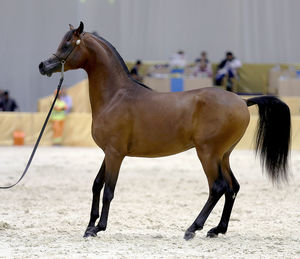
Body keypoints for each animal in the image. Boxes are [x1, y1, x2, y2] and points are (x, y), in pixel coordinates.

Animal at [39, 23, 290, 241]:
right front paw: (90, 226)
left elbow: (109, 190)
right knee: (232, 187)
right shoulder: (108, 153)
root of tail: (242, 100)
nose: (43, 65)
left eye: (67, 44)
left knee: (218, 187)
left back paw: (193, 228)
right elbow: (97, 185)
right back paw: (217, 229)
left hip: (208, 154)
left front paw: (98, 228)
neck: (116, 96)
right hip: (224, 155)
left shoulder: (115, 154)